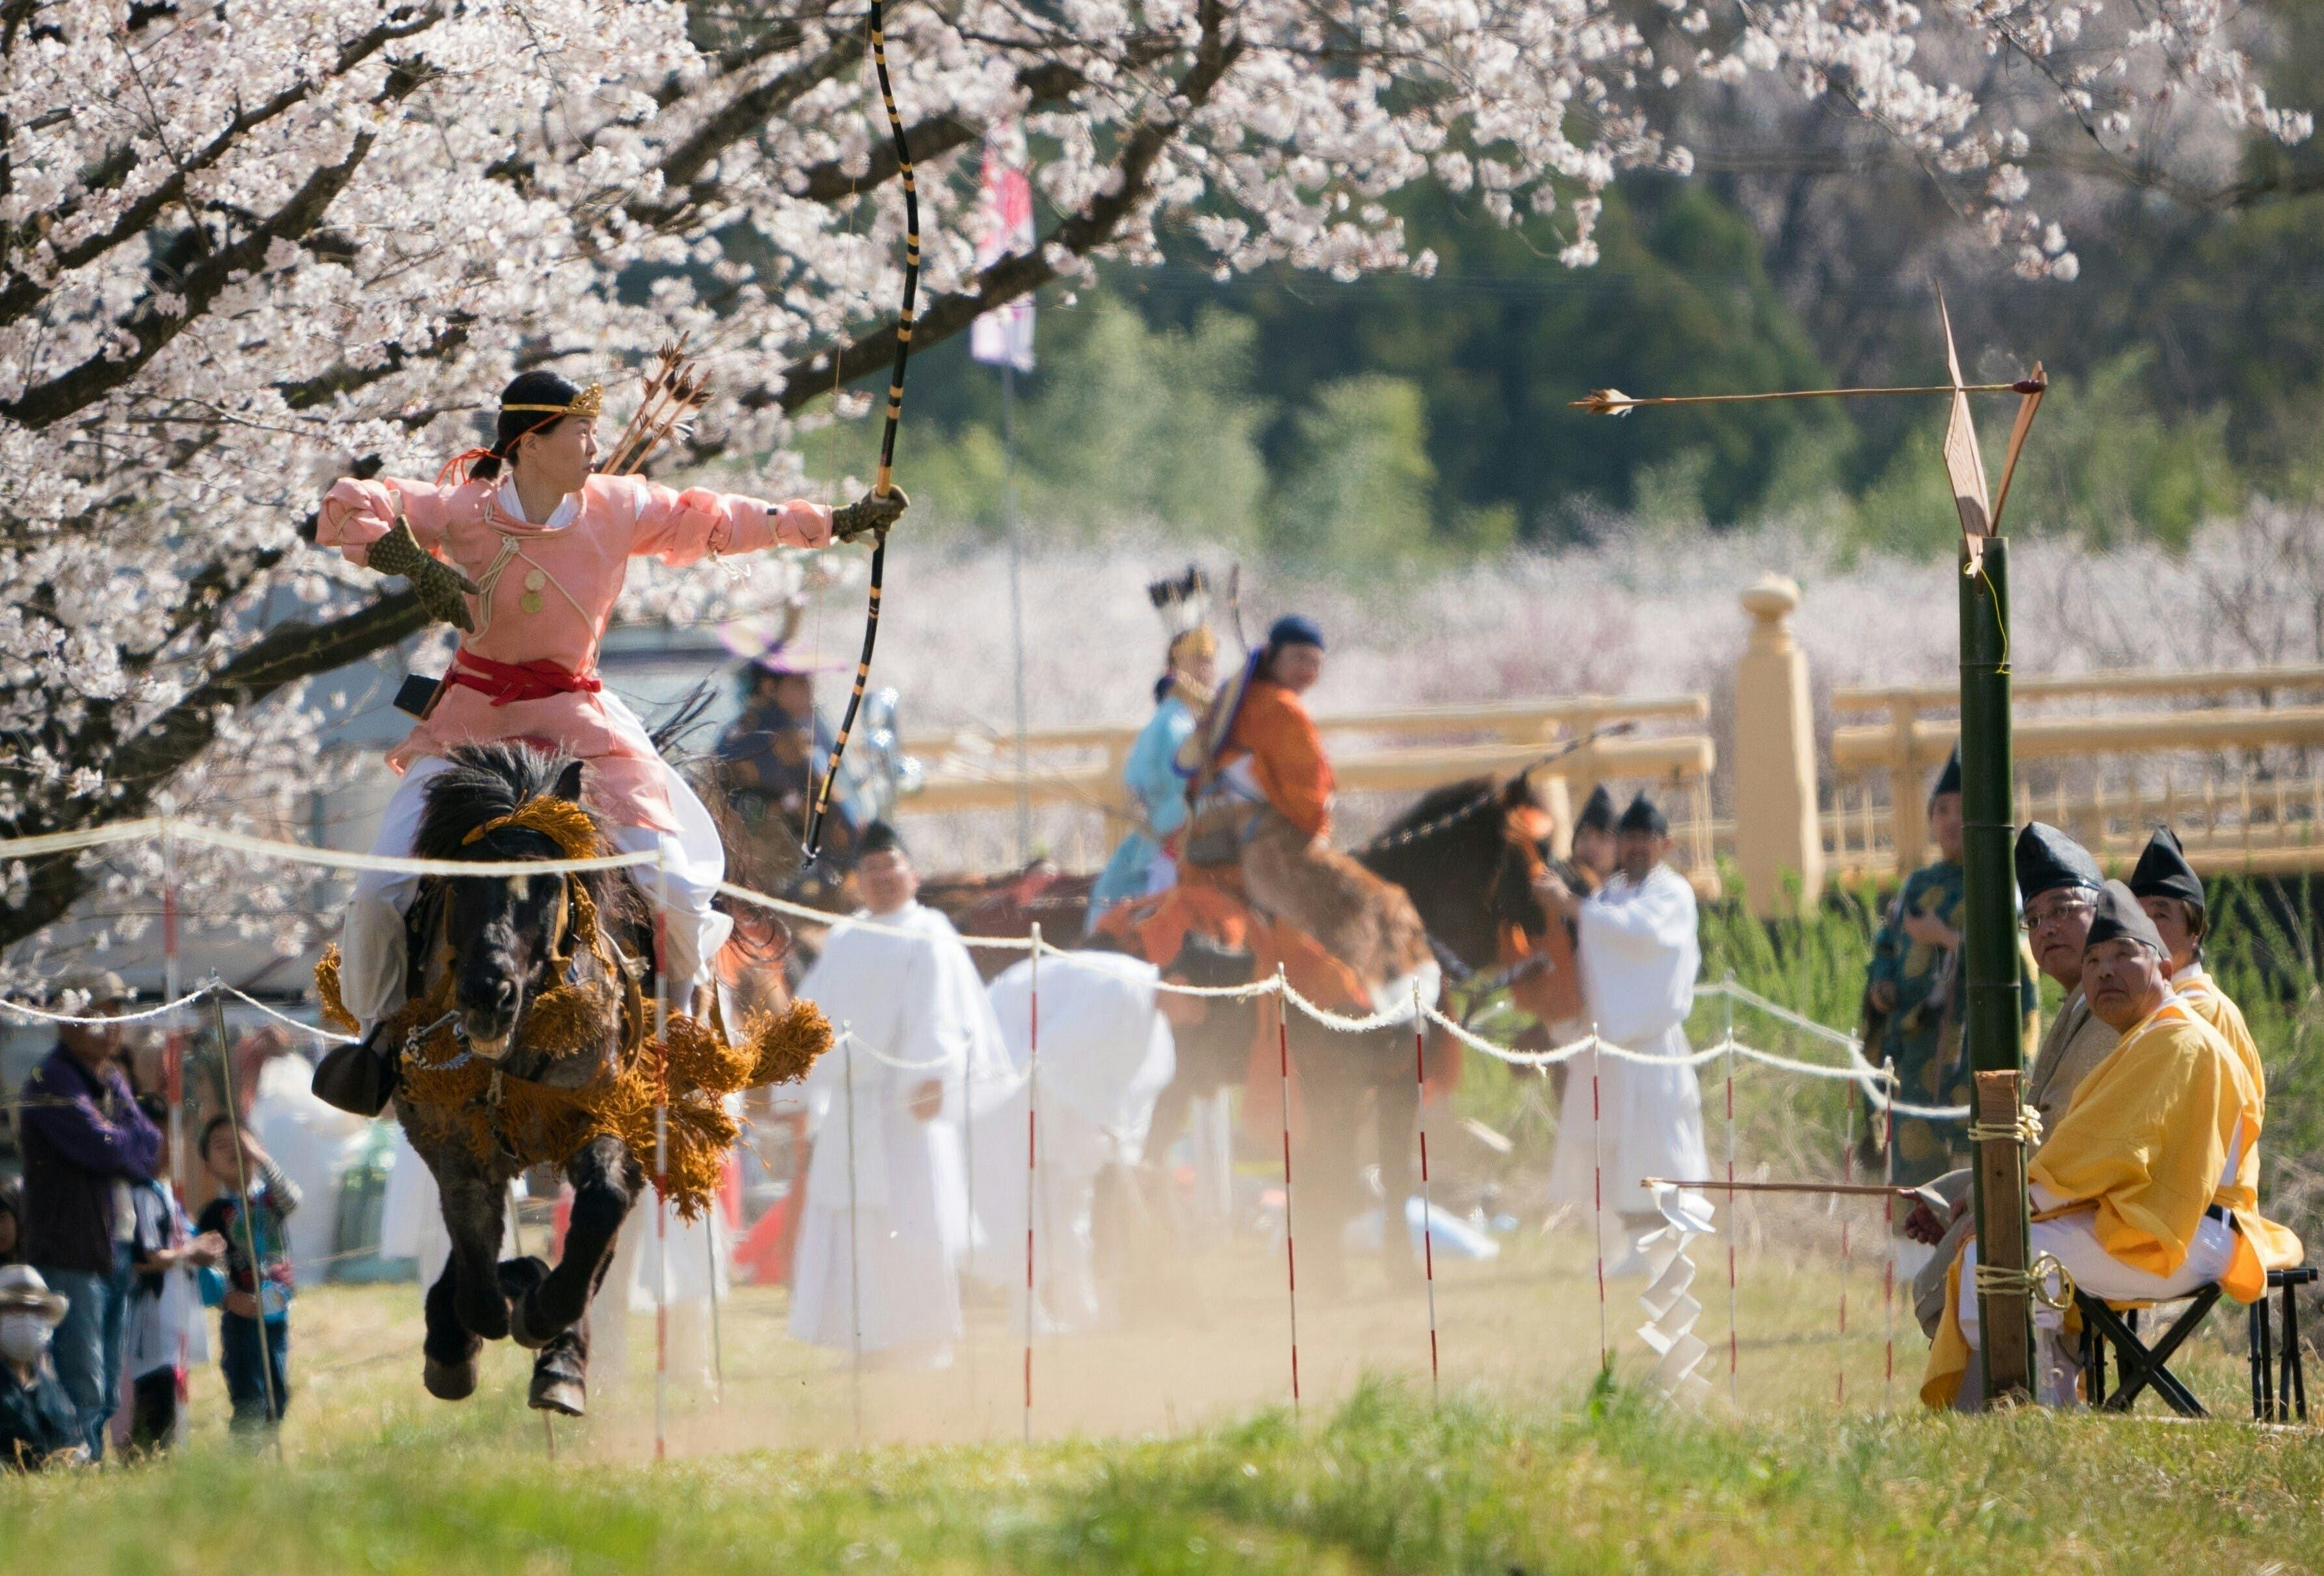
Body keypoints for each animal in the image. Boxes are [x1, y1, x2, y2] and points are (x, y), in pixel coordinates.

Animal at [397, 748, 655, 1423]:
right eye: (458, 882)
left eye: (547, 884)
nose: (489, 995)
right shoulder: (453, 1137)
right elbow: (475, 1252)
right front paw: (469, 1326)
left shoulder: (605, 1117)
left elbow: (602, 1206)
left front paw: (544, 1315)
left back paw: (560, 1359)